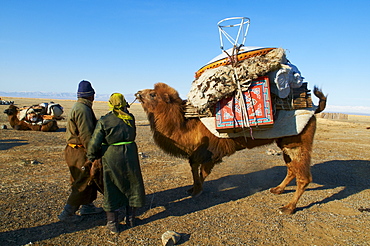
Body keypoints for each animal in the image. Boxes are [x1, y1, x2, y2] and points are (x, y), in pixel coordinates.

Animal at [136, 82, 326, 213]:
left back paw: (288, 208)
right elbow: (194, 168)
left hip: (298, 142)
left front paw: (198, 191)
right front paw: (192, 188)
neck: (184, 126)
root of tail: (315, 109)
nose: (137, 93)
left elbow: (202, 173)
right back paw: (277, 190)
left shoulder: (211, 153)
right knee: (291, 169)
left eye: (152, 94)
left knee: (304, 176)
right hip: (285, 144)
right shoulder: (197, 153)